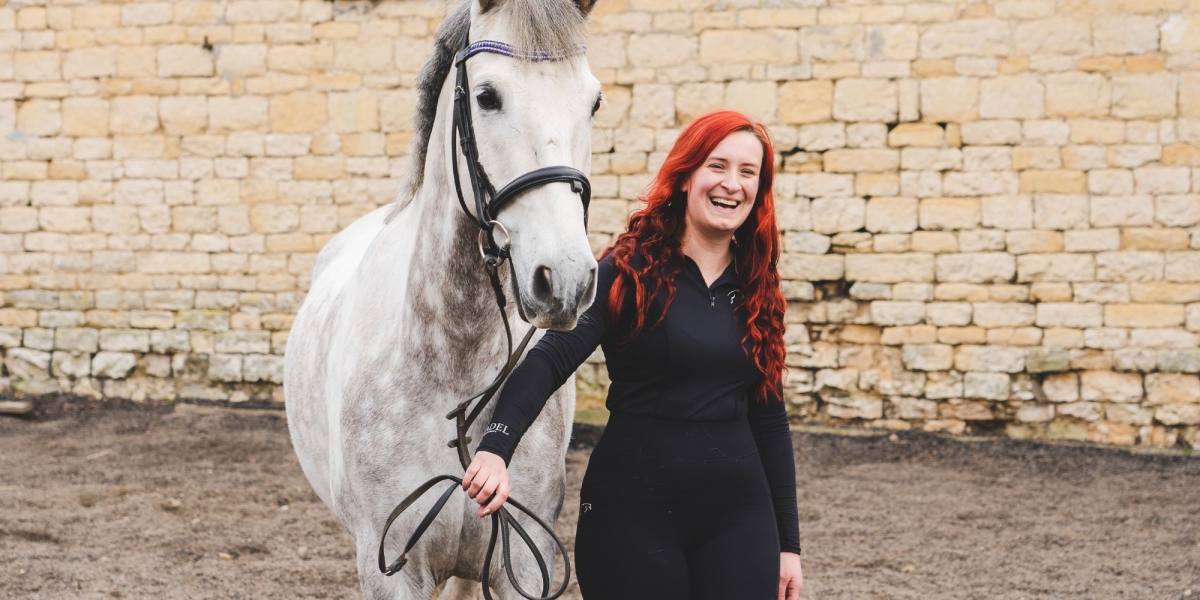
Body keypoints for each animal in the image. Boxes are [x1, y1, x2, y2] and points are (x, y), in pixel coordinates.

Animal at [283, 0, 601, 597]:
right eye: (487, 96)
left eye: (594, 101)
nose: (566, 279)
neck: (453, 361)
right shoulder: (389, 566)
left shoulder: (524, 562)